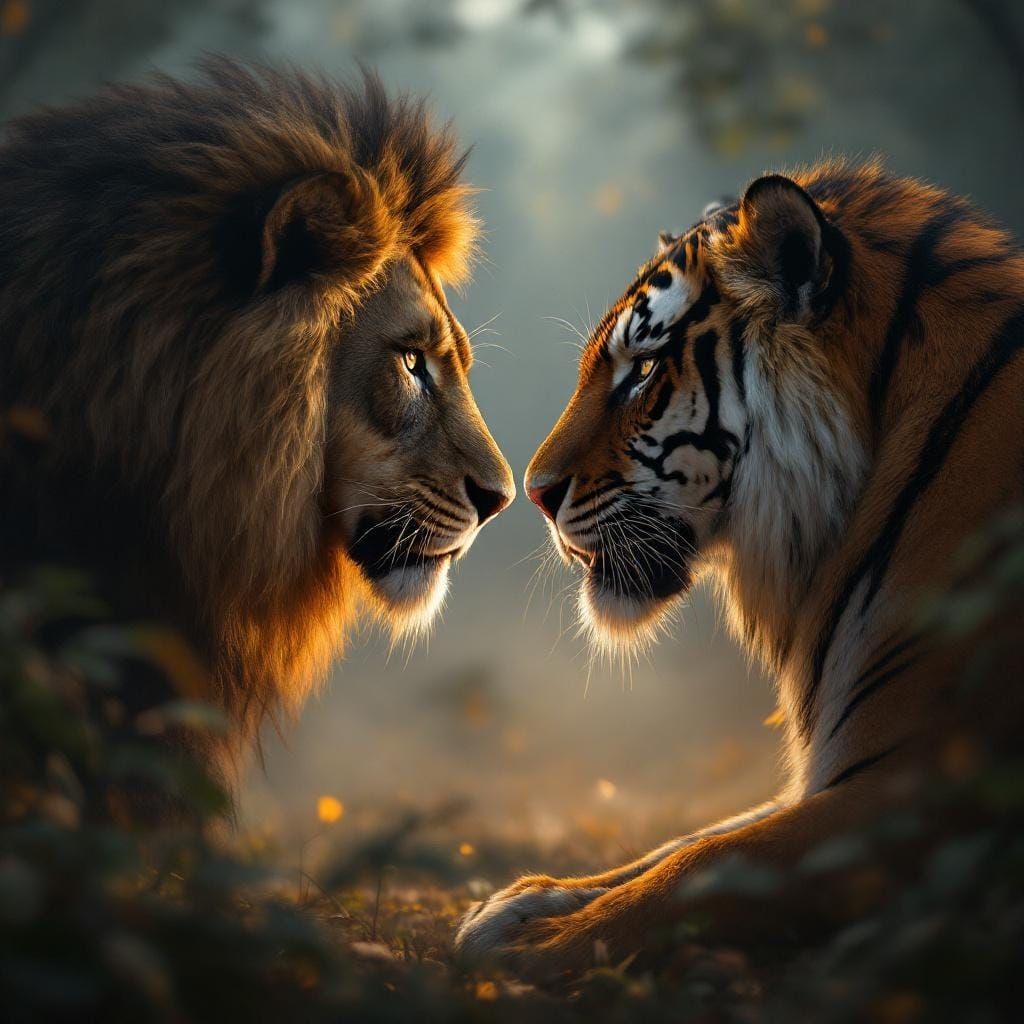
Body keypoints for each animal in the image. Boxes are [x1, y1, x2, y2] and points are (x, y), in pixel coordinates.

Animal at [455, 159, 1024, 976]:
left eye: (643, 372)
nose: (530, 494)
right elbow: (684, 840)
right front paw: (518, 906)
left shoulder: (915, 786)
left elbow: (708, 864)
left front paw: (542, 944)